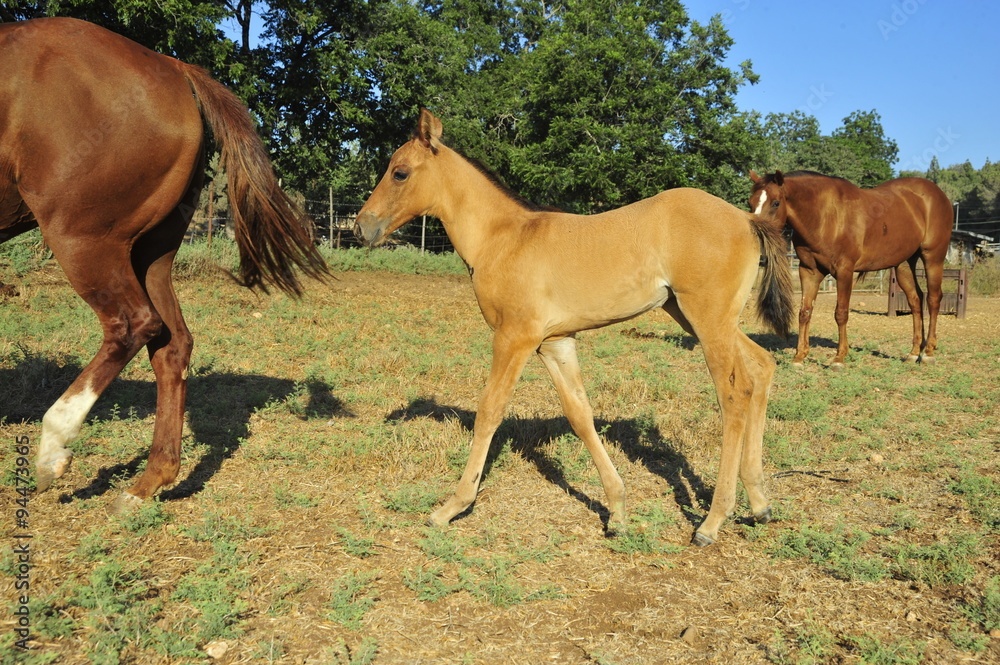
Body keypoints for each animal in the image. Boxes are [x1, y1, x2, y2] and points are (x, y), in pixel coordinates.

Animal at [0, 18, 327, 512]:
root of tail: (174, 68)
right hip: (148, 254)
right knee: (171, 344)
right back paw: (146, 483)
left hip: (82, 240)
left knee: (132, 324)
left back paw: (53, 450)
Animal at [355, 109, 794, 546]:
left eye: (400, 172)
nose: (361, 227)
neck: (503, 238)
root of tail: (745, 219)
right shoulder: (555, 342)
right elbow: (580, 415)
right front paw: (617, 511)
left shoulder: (514, 338)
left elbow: (489, 411)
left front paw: (451, 507)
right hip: (699, 317)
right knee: (762, 367)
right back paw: (760, 504)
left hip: (707, 318)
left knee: (734, 396)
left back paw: (712, 522)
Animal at [749, 170, 953, 369]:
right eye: (750, 203)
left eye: (776, 203)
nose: (758, 249)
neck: (825, 216)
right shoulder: (809, 271)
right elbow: (805, 312)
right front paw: (799, 357)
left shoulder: (844, 272)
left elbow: (841, 313)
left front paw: (839, 358)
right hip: (903, 265)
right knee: (915, 300)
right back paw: (914, 353)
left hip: (933, 258)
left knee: (933, 299)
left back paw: (928, 353)